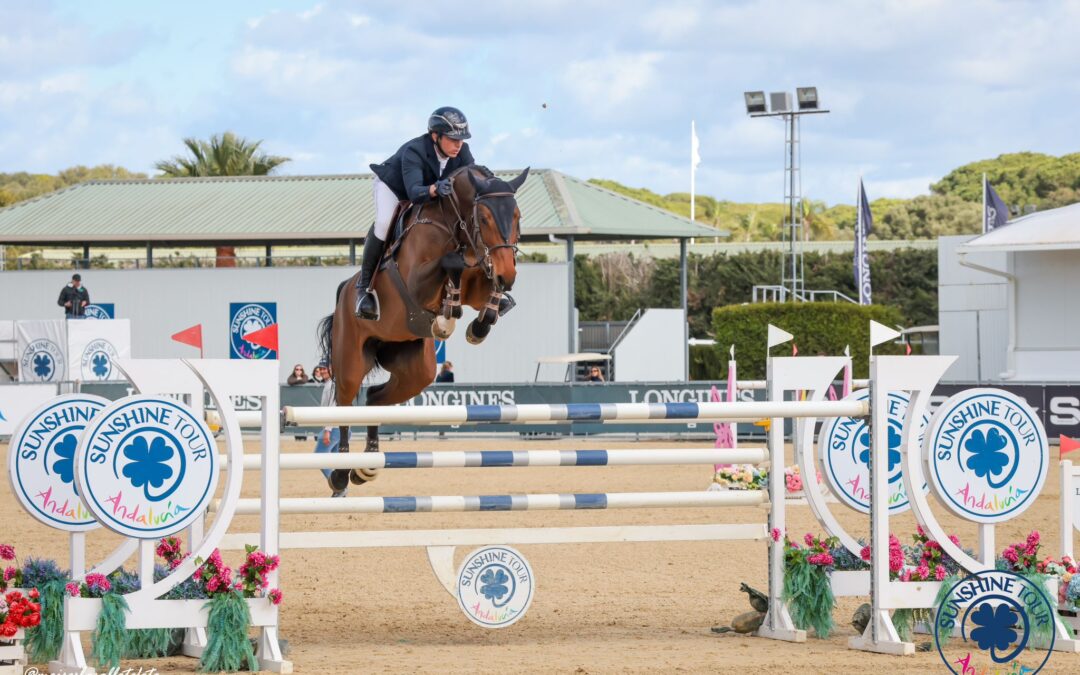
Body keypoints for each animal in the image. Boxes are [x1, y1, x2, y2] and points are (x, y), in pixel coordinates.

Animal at [315, 163, 529, 490]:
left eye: (517, 216)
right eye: (484, 218)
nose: (509, 275)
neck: (455, 226)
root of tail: (345, 291)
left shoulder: (479, 282)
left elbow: (485, 287)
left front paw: (478, 324)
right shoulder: (417, 283)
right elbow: (451, 262)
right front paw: (448, 315)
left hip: (416, 369)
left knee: (375, 397)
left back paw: (367, 466)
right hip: (350, 358)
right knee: (346, 402)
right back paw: (340, 473)